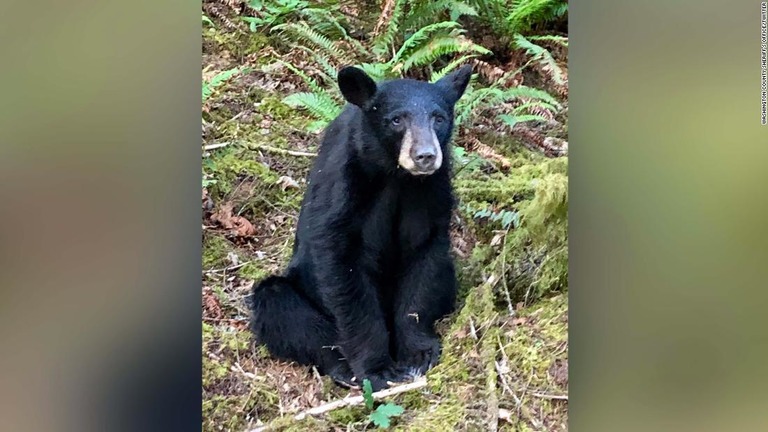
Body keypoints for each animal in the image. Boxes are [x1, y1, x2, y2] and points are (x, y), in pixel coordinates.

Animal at [249, 64, 472, 392]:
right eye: (396, 119)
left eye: (439, 118)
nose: (425, 156)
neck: (395, 176)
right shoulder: (344, 185)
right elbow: (343, 268)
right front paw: (377, 368)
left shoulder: (431, 191)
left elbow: (424, 257)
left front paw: (418, 353)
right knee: (279, 306)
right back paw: (342, 367)